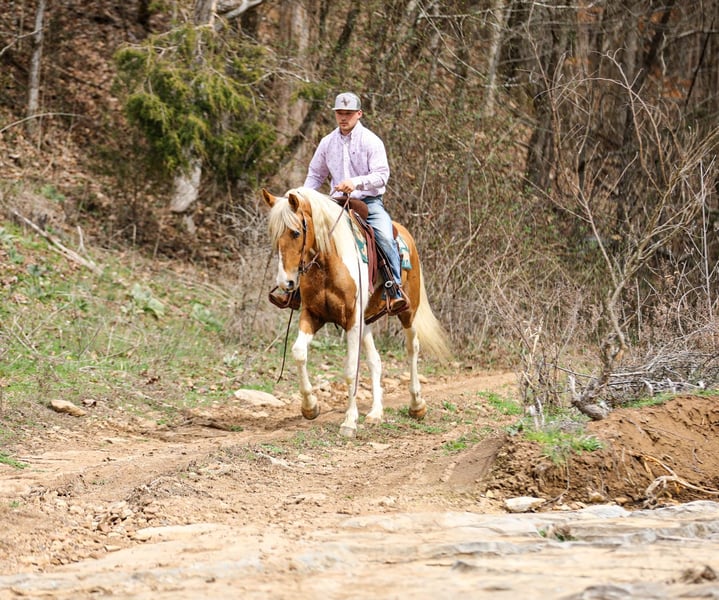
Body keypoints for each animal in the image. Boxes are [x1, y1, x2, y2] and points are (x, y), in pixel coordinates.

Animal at [262, 187, 451, 437]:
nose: (286, 283)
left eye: (295, 233)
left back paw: (416, 405)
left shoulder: (351, 319)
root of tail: (404, 234)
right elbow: (299, 352)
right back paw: (375, 413)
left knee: (412, 348)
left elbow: (351, 369)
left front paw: (350, 421)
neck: (328, 263)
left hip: (407, 312)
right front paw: (310, 407)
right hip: (367, 320)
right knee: (375, 360)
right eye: (274, 235)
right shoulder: (313, 315)